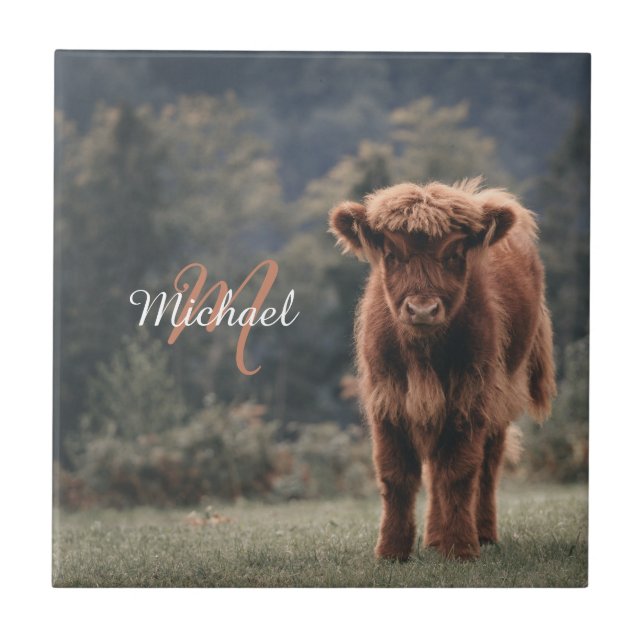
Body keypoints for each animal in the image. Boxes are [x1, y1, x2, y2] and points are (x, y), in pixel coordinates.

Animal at [329, 178, 556, 561]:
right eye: (392, 255)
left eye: (453, 255)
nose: (422, 309)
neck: (423, 355)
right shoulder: (387, 397)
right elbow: (396, 474)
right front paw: (391, 551)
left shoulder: (470, 395)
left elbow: (460, 472)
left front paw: (461, 548)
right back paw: (435, 538)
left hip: (502, 393)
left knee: (487, 464)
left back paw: (482, 534)